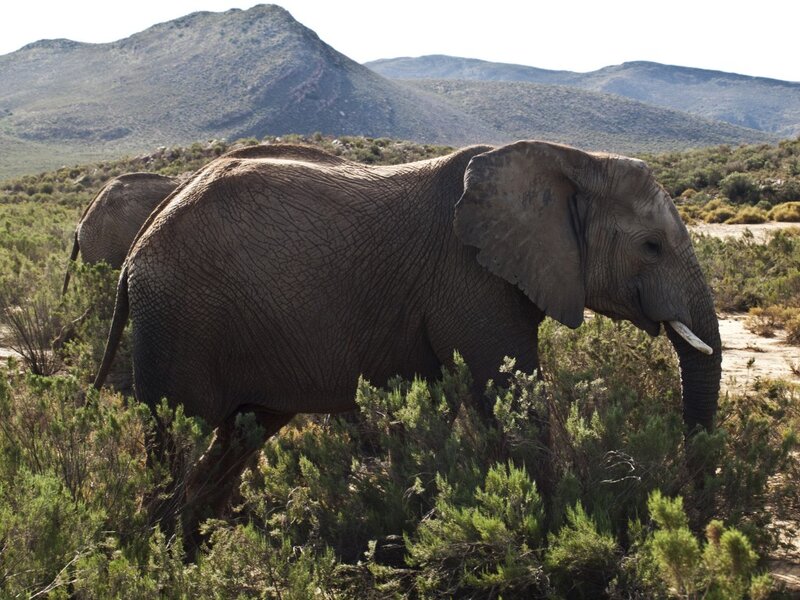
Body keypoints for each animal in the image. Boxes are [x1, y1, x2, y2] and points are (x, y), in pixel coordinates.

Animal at [93, 140, 721, 535]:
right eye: (651, 247)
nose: (700, 523)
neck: (571, 160)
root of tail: (135, 253)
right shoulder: (471, 278)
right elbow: (511, 400)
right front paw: (557, 526)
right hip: (180, 322)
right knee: (176, 435)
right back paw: (170, 547)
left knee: (239, 437)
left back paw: (208, 540)